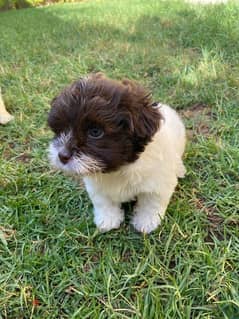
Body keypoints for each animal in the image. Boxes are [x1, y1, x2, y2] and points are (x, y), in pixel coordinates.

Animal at [48, 74, 187, 234]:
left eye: (95, 132)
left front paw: (146, 222)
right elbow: (103, 202)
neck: (120, 167)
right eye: (61, 129)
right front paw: (107, 219)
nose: (62, 156)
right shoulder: (96, 186)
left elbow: (151, 203)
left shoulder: (157, 184)